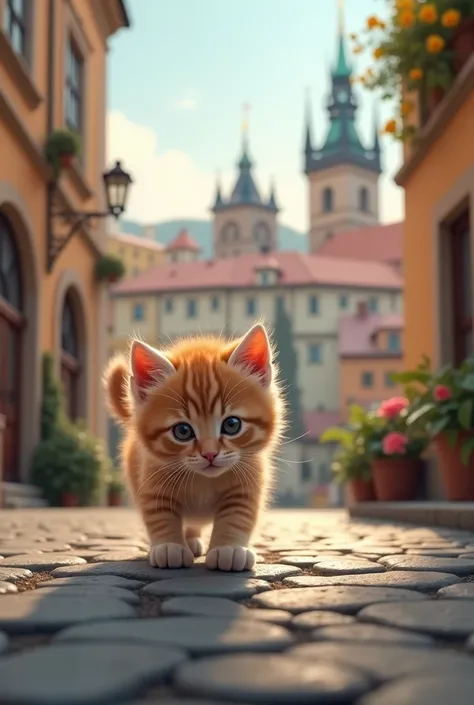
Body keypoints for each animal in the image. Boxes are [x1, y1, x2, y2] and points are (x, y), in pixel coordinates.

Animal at [104, 324, 284, 572]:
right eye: (182, 431)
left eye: (232, 425)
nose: (209, 454)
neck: (203, 481)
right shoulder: (151, 481)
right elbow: (160, 515)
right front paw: (169, 546)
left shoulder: (248, 482)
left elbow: (237, 516)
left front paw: (229, 549)